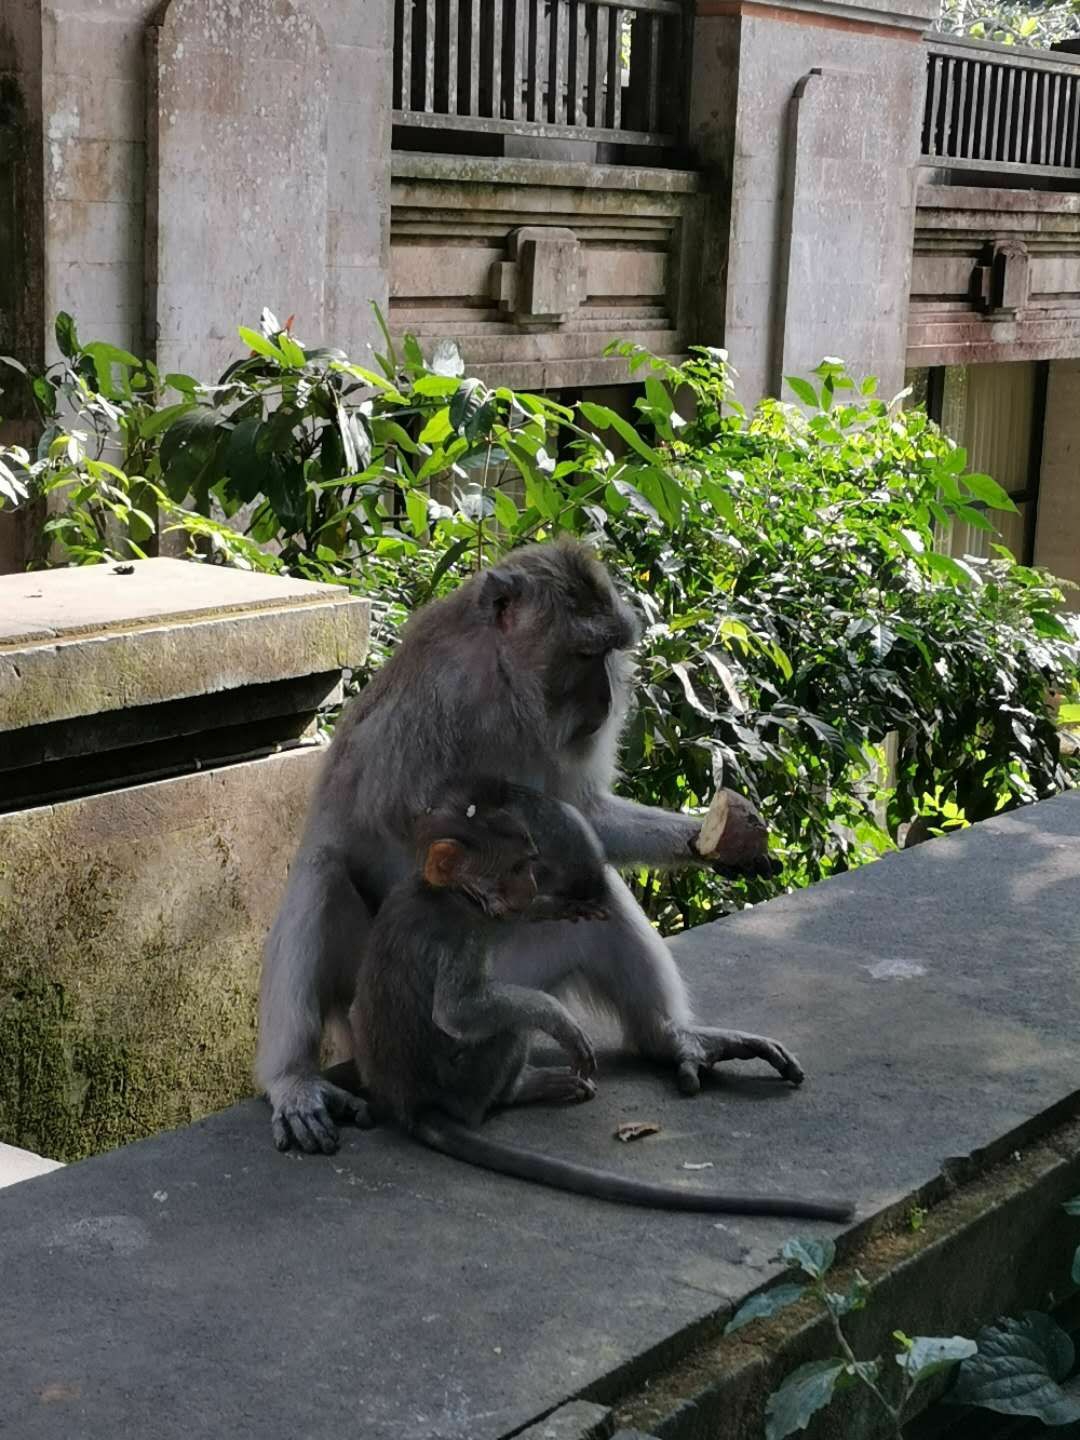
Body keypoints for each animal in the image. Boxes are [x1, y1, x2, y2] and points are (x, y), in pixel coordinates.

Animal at [260, 541, 806, 1157]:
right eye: (584, 652)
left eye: (610, 653)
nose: (607, 700)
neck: (505, 681)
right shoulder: (440, 701)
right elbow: (416, 823)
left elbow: (587, 816)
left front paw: (722, 845)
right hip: (384, 1007)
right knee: (322, 874)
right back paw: (294, 1080)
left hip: (524, 972)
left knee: (600, 901)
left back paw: (676, 1037)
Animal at [351, 783, 858, 1221]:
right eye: (515, 868)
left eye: (530, 864)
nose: (531, 886)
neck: (445, 892)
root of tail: (414, 1104)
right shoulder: (464, 928)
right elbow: (456, 1009)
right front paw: (560, 1020)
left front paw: (556, 903)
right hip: (465, 1079)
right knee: (503, 1025)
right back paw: (521, 1088)